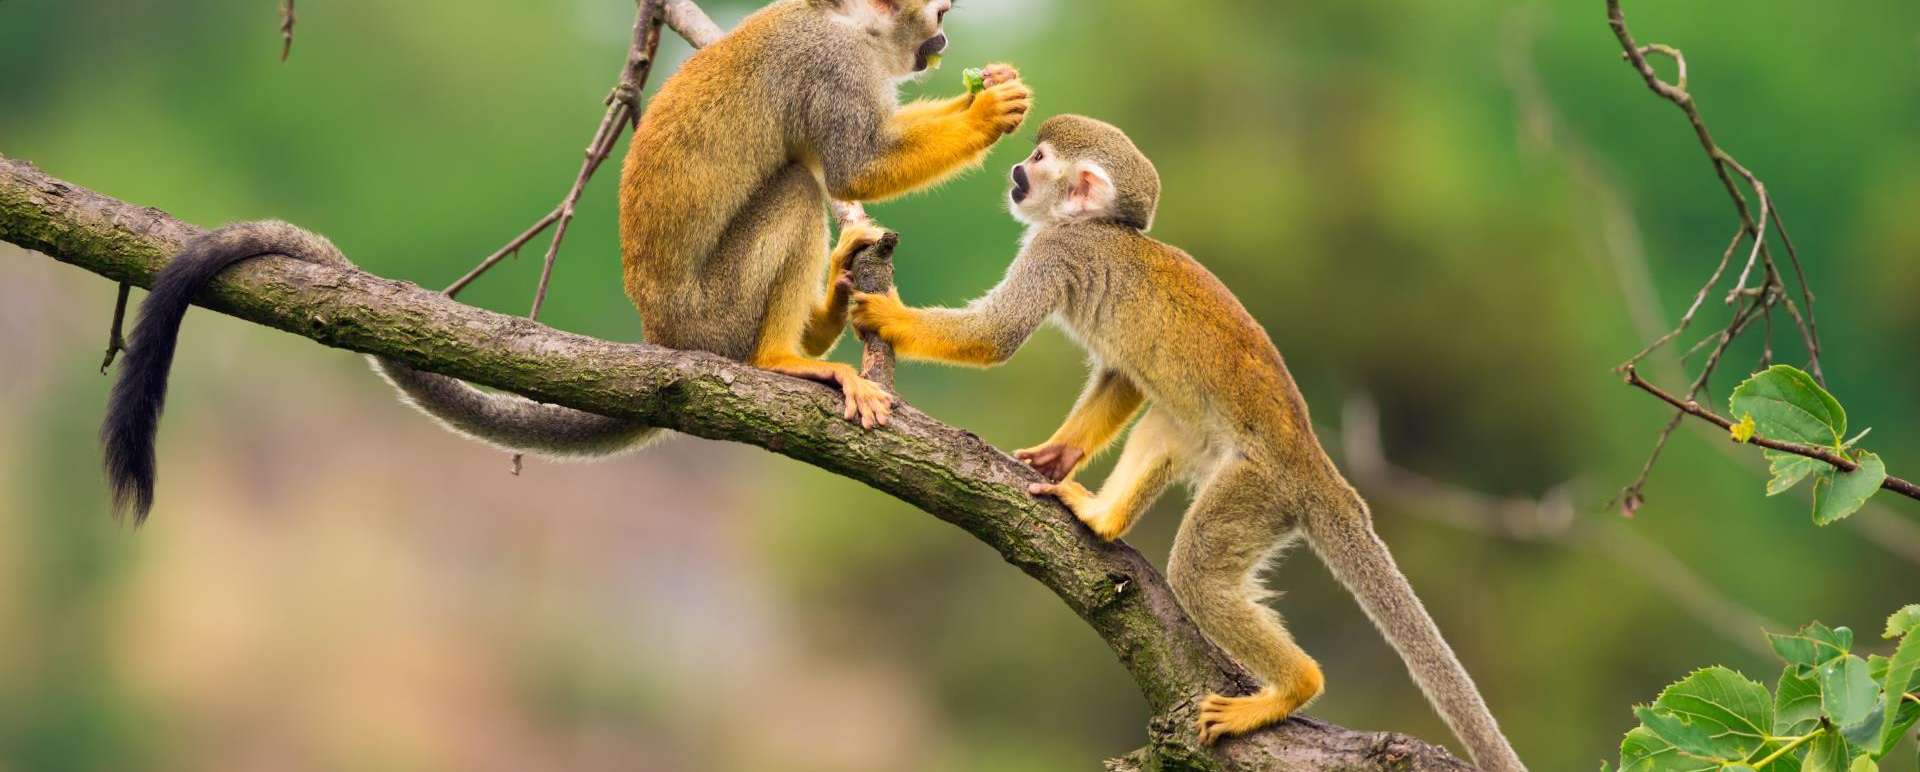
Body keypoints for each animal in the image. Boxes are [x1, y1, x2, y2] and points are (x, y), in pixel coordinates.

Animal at [101, 0, 1032, 521]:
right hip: (715, 312)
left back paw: (833, 302)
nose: (945, 34)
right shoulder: (829, 63)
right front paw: (990, 114)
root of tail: (665, 342)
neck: (847, 22)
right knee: (799, 187)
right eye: (935, 14)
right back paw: (782, 357)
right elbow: (851, 165)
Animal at [846, 115, 1525, 769]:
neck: (1098, 228)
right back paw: (1103, 518)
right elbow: (1122, 377)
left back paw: (1292, 687)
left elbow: (996, 336)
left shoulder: (1057, 251)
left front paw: (887, 316)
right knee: (1166, 421)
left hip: (1260, 489)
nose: (1015, 171)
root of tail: (1317, 467)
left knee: (1197, 570)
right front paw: (1059, 454)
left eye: (1038, 160)